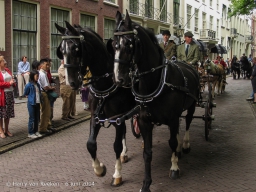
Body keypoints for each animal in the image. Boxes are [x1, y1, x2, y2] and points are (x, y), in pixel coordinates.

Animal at [54, 21, 136, 187]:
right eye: (61, 50)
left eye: (76, 48)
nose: (71, 82)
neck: (104, 83)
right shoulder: (96, 116)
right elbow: (90, 144)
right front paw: (99, 169)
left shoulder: (117, 117)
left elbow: (116, 145)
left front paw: (117, 175)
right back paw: (124, 154)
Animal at [111, 10, 199, 192]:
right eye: (113, 43)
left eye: (129, 43)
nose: (118, 78)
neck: (155, 81)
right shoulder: (145, 121)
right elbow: (147, 153)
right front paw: (146, 184)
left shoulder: (172, 118)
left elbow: (172, 142)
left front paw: (174, 167)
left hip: (192, 105)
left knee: (187, 122)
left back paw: (185, 145)